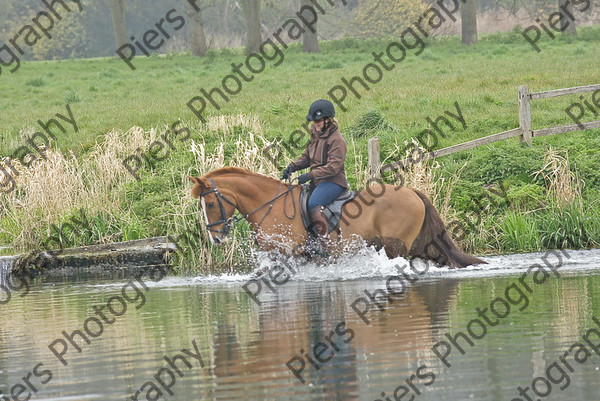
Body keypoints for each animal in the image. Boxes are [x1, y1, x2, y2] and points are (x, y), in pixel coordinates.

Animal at [190, 167, 486, 268]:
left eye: (210, 203)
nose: (215, 239)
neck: (270, 205)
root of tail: (413, 192)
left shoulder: (288, 253)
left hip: (396, 245)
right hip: (419, 245)